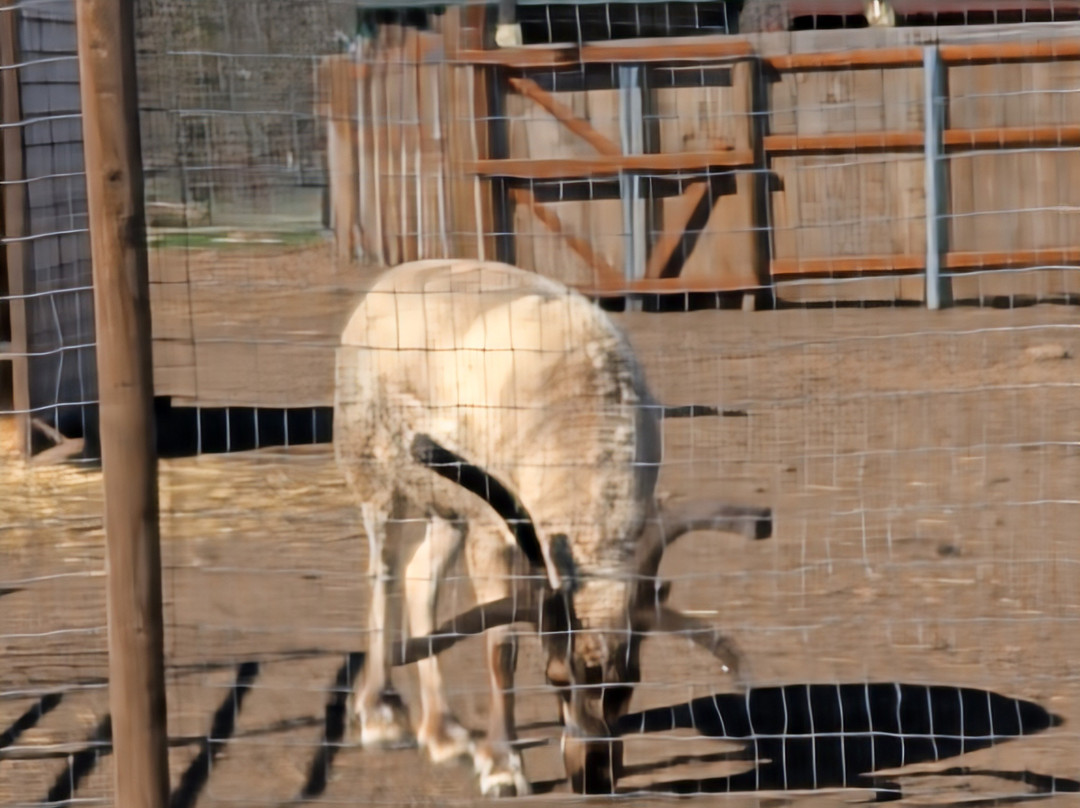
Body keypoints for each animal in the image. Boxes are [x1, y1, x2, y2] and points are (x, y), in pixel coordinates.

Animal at [334, 259, 771, 796]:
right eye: (557, 679)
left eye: (626, 685)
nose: (592, 777)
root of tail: (382, 283)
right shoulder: (493, 531)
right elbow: (501, 648)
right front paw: (502, 767)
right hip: (376, 482)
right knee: (385, 575)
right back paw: (379, 715)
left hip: (448, 508)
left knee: (421, 578)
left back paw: (443, 734)